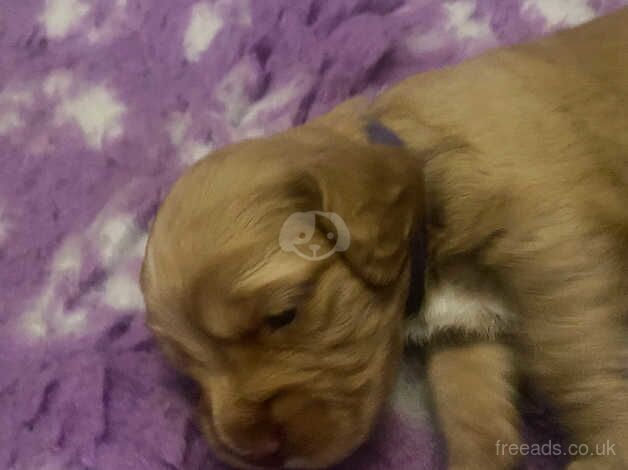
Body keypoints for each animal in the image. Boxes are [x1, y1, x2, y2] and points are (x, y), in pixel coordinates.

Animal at [142, 10, 628, 470]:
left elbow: (576, 356)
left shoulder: (550, 247)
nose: (257, 452)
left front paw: (608, 452)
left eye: (284, 314)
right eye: (189, 369)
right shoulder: (464, 334)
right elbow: (472, 414)